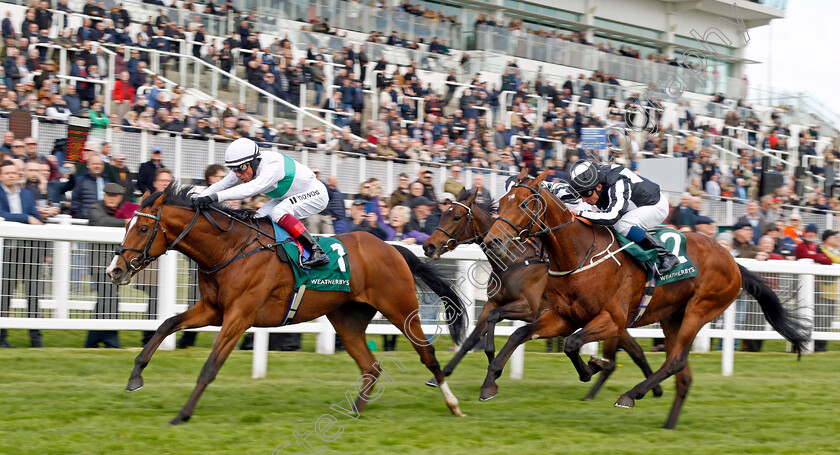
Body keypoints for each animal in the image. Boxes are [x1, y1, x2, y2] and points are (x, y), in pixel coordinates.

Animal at [106, 183, 466, 426]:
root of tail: (391, 247)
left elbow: (210, 367)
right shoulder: (213, 309)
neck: (229, 248)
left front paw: (182, 414)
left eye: (143, 227)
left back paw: (454, 405)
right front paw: (135, 377)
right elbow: (167, 324)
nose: (115, 270)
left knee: (427, 355)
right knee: (371, 367)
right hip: (347, 320)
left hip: (400, 308)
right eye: (126, 225)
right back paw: (353, 412)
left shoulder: (239, 316)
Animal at [424, 190, 660, 402]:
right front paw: (440, 375)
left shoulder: (529, 308)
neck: (515, 258)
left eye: (456, 216)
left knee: (620, 355)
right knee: (635, 351)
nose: (429, 246)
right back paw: (650, 390)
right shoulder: (492, 302)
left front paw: (491, 359)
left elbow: (496, 319)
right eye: (442, 214)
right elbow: (472, 338)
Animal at [480, 169, 808, 430]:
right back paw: (668, 425)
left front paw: (593, 367)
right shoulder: (562, 317)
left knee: (676, 361)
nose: (492, 240)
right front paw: (490, 382)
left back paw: (630, 395)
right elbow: (521, 334)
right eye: (502, 202)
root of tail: (732, 259)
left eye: (524, 204)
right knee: (683, 375)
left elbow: (573, 344)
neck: (580, 253)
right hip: (672, 317)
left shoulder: (612, 321)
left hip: (700, 309)